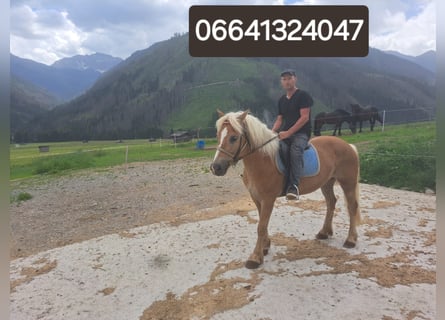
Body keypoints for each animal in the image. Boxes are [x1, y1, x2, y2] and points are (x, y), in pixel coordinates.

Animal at [210, 111, 360, 268]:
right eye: (218, 135)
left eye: (234, 138)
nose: (216, 167)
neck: (263, 160)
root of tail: (348, 146)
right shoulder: (256, 198)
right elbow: (262, 223)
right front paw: (265, 247)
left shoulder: (268, 199)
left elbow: (261, 226)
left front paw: (255, 257)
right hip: (326, 183)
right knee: (331, 202)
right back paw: (324, 232)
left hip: (347, 182)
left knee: (352, 207)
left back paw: (350, 239)